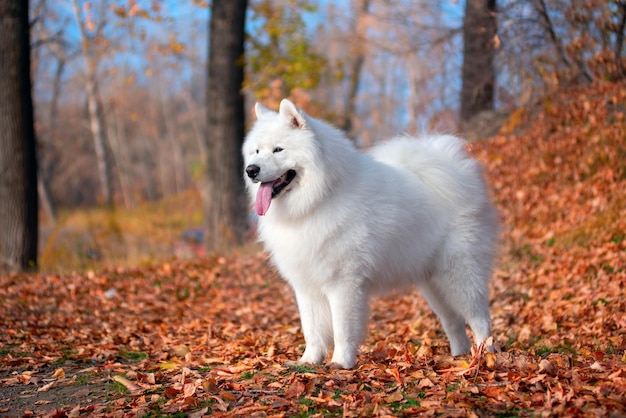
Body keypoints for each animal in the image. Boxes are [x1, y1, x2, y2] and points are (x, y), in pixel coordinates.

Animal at [241, 99, 494, 368]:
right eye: (256, 151)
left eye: (278, 149)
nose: (251, 170)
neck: (318, 199)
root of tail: (456, 172)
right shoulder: (307, 286)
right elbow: (312, 330)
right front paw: (308, 361)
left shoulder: (344, 284)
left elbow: (342, 329)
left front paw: (340, 363)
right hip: (433, 284)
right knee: (453, 321)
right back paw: (459, 358)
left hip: (460, 274)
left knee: (479, 319)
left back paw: (486, 357)